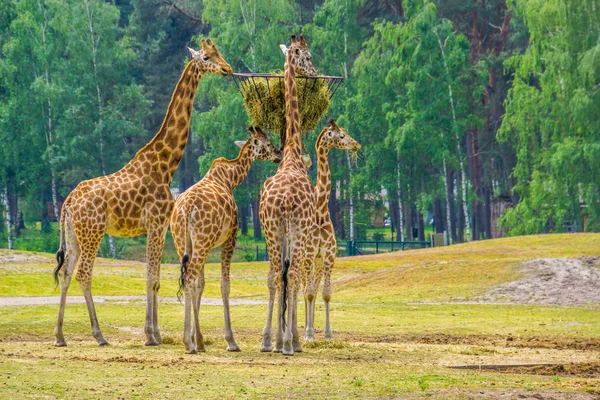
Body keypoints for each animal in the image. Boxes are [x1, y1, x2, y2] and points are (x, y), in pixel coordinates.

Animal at [52, 39, 232, 348]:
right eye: (207, 57)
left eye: (219, 52)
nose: (227, 68)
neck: (166, 164)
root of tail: (68, 203)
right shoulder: (158, 222)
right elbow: (152, 278)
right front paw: (151, 336)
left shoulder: (155, 226)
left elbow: (154, 277)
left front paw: (156, 333)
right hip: (93, 233)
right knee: (84, 274)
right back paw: (99, 336)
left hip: (74, 235)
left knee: (65, 272)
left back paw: (60, 336)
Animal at [169, 127, 282, 354]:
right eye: (266, 143)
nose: (278, 153)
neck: (230, 179)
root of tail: (186, 210)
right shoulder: (230, 239)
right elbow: (224, 285)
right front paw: (230, 341)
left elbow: (201, 285)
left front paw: (199, 338)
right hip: (202, 242)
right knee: (190, 278)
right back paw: (189, 342)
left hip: (182, 243)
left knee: (188, 279)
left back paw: (192, 341)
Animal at [302, 118, 358, 340]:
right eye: (341, 135)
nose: (356, 144)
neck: (319, 210)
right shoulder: (309, 254)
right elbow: (308, 292)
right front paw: (309, 334)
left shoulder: (328, 255)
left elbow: (324, 293)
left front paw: (326, 333)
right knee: (298, 288)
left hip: (316, 263)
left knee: (311, 290)